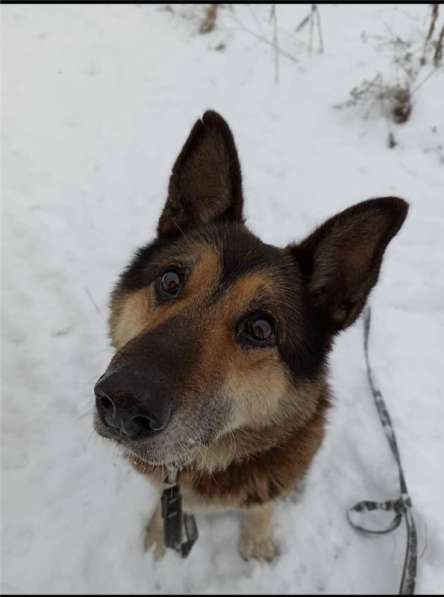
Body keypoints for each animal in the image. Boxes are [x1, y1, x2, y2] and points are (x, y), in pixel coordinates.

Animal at [94, 109, 410, 560]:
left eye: (261, 328)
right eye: (170, 281)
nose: (123, 401)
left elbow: (260, 508)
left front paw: (257, 547)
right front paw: (158, 533)